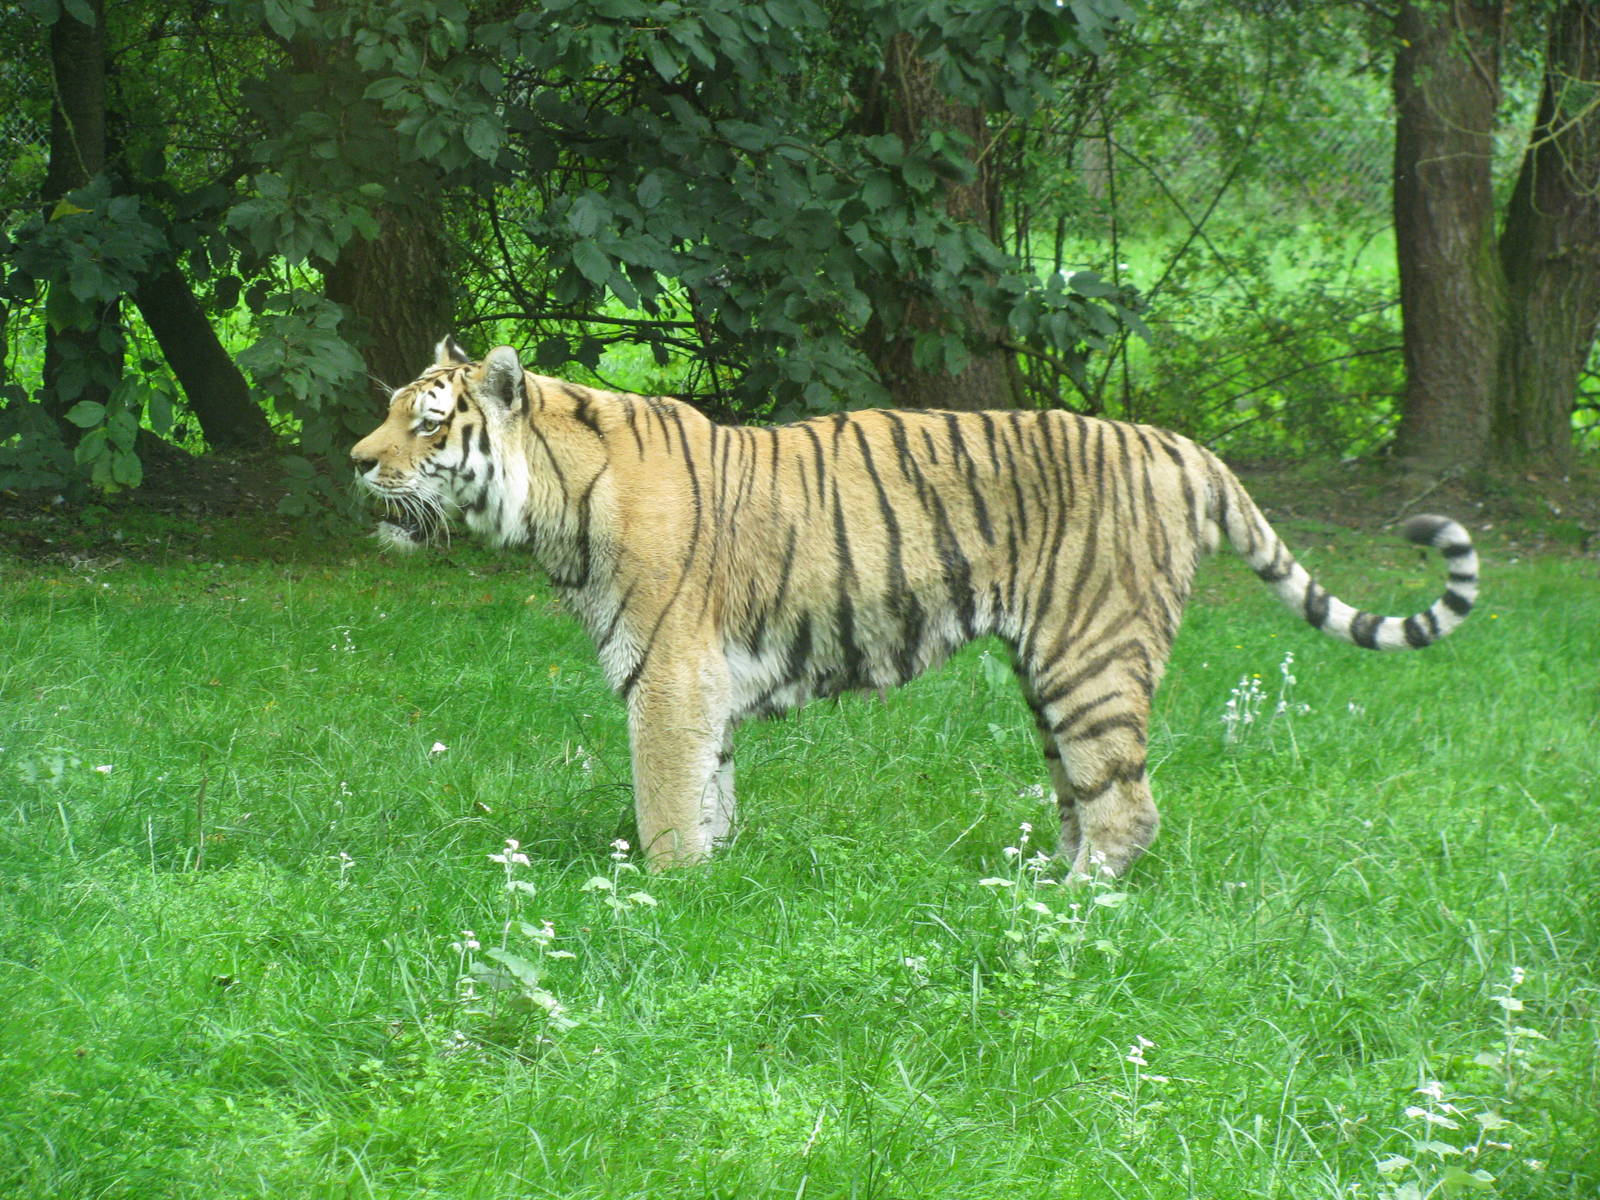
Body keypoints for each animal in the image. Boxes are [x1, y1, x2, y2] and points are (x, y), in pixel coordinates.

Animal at [350, 338, 1479, 877]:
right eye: (390, 413)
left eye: (428, 421)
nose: (356, 462)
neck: (549, 503)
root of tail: (1178, 444)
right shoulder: (702, 685)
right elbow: (713, 793)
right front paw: (717, 883)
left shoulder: (667, 675)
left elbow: (667, 806)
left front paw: (662, 901)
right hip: (1050, 672)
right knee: (1083, 799)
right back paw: (1028, 888)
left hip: (1091, 658)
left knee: (1126, 807)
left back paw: (1065, 918)